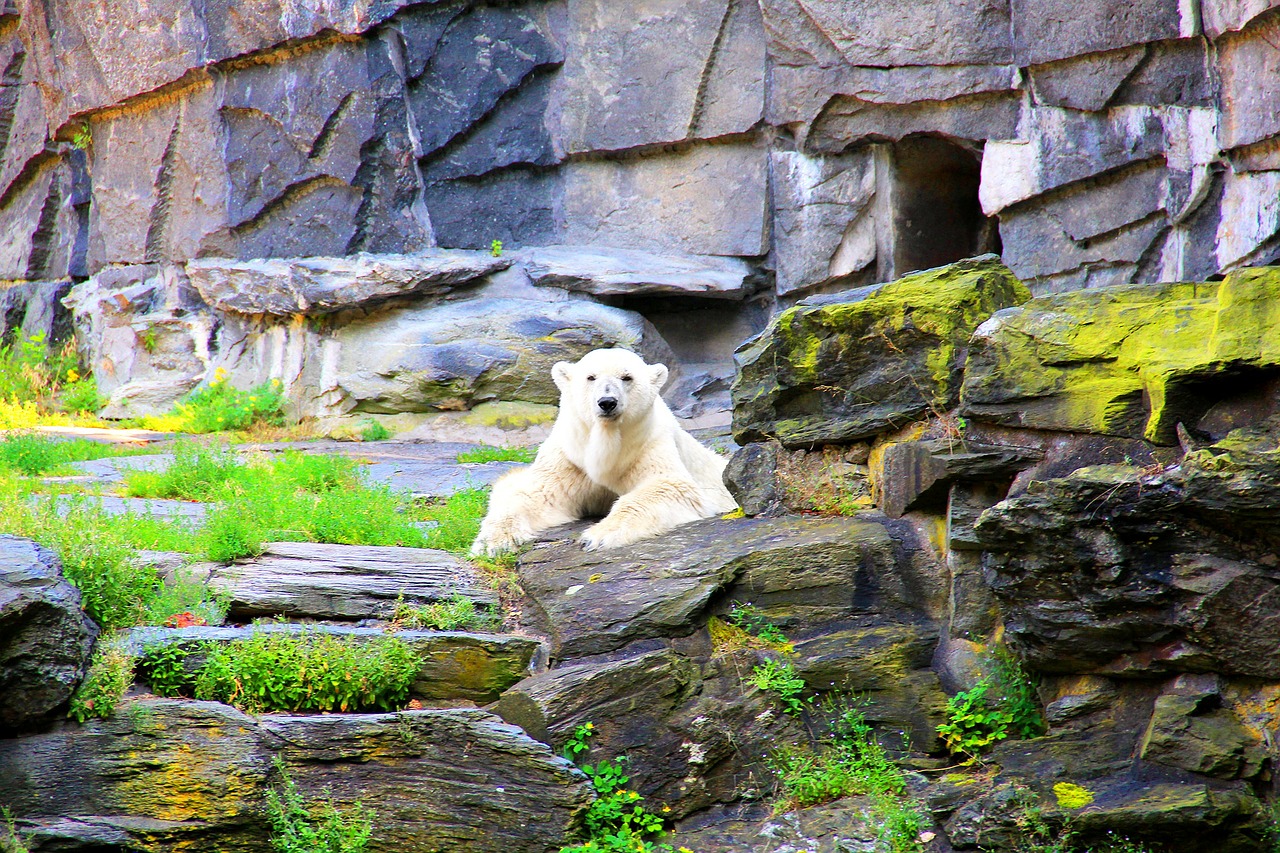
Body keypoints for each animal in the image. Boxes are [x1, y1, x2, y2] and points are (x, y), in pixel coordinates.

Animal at [471, 345, 737, 550]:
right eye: (591, 377)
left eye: (627, 377)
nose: (607, 402)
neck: (607, 440)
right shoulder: (569, 457)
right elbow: (536, 493)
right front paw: (493, 542)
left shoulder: (648, 444)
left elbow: (669, 485)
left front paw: (596, 536)